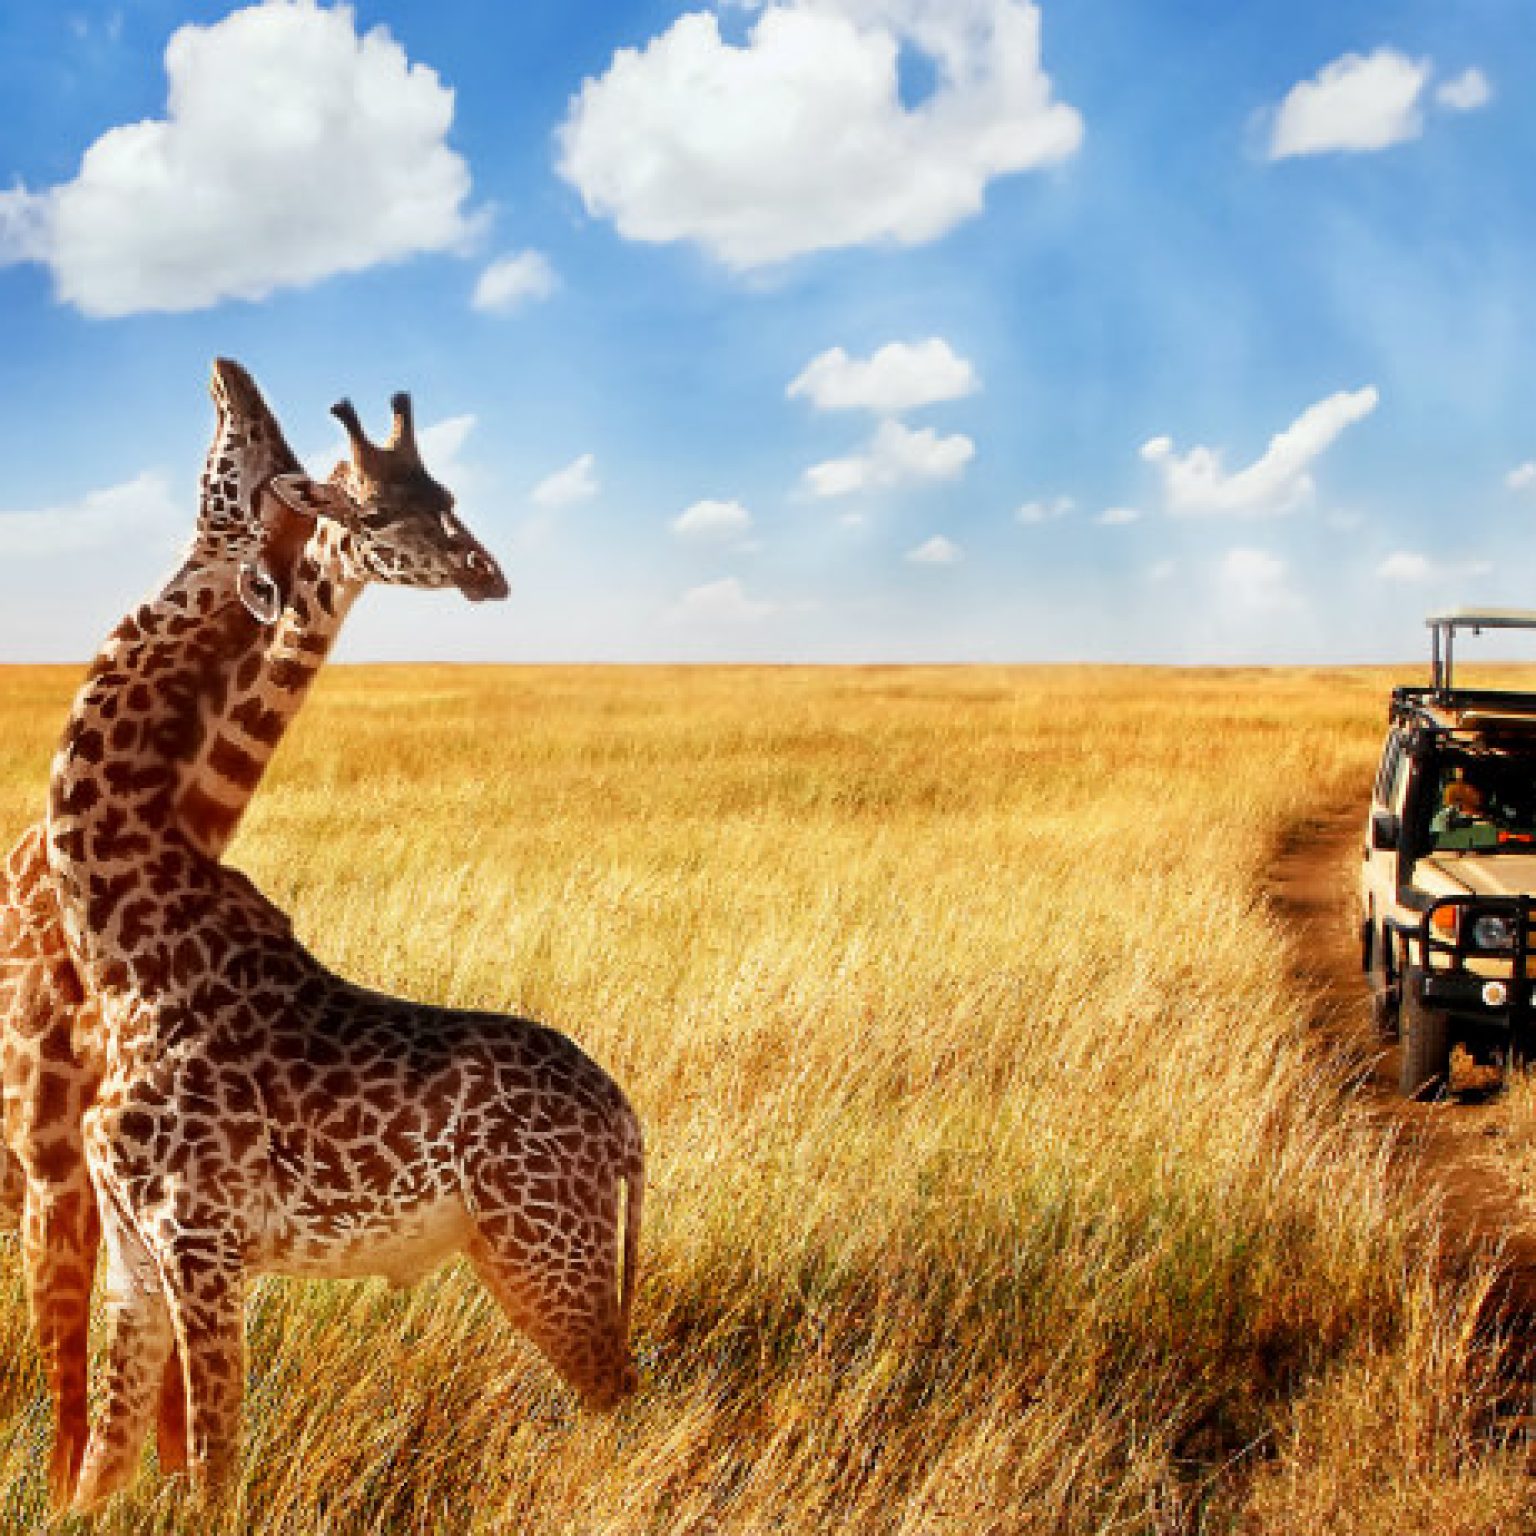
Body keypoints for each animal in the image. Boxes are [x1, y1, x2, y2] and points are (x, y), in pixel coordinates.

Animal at [44, 378, 643, 1513]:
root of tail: (628, 1124)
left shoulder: (203, 1244)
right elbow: (102, 1469)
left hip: (548, 1250)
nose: (484, 572)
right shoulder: (133, 1255)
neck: (122, 943)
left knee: (623, 1400)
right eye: (376, 505)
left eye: (241, 473)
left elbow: (216, 1471)